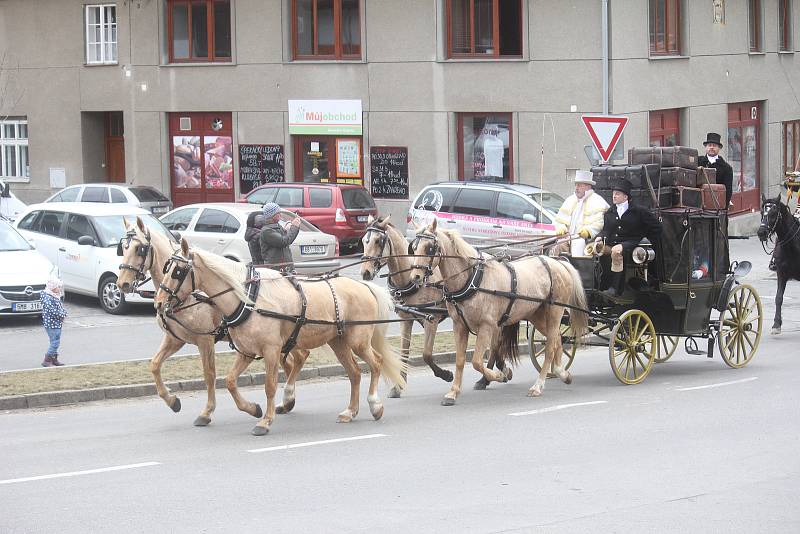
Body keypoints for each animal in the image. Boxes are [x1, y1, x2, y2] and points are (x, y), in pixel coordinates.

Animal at [115, 218, 310, 428]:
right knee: (293, 361)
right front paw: (172, 400)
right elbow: (154, 365)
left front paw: (207, 412)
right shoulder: (174, 339)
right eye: (123, 247)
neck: (190, 296)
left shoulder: (205, 341)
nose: (122, 284)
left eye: (139, 248)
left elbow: (209, 375)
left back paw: (287, 398)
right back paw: (287, 401)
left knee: (298, 358)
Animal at [156, 241, 406, 438]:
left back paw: (374, 405)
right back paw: (350, 411)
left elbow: (269, 385)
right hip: (338, 342)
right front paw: (253, 408)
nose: (158, 303)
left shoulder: (271, 350)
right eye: (166, 267)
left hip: (358, 341)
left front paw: (265, 421)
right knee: (354, 373)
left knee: (376, 364)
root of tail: (364, 285)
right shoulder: (247, 351)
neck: (250, 299)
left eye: (178, 271)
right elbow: (229, 381)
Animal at [412, 219, 588, 406]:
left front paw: (497, 375)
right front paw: (453, 392)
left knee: (549, 348)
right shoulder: (459, 325)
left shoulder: (487, 327)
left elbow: (476, 362)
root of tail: (559, 263)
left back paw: (538, 385)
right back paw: (562, 373)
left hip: (555, 312)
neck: (473, 278)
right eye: (414, 247)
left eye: (430, 247)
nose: (415, 277)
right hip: (536, 315)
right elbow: (460, 361)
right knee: (556, 340)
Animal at [756, 195, 800, 332]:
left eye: (774, 213)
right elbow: (778, 297)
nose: (761, 232)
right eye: (762, 212)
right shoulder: (781, 273)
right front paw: (776, 324)